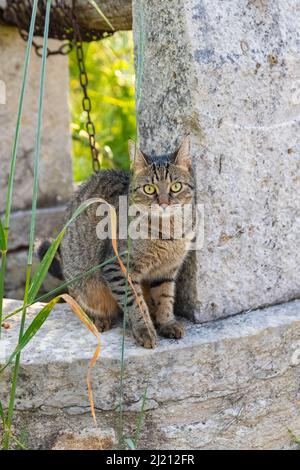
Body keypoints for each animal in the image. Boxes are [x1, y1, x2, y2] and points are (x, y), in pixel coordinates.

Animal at [38, 134, 196, 346]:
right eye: (149, 189)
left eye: (176, 187)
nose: (164, 203)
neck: (167, 231)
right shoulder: (118, 267)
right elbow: (135, 302)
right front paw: (144, 329)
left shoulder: (167, 270)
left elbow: (165, 296)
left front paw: (166, 322)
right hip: (83, 284)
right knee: (81, 304)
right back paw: (98, 319)